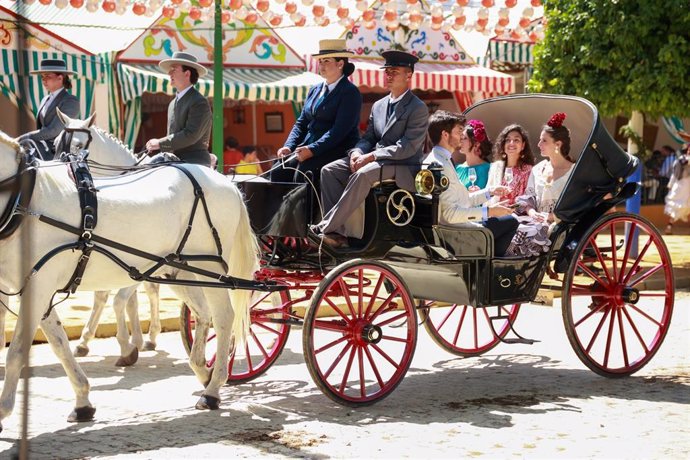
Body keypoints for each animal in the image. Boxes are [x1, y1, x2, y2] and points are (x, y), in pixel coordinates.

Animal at [0, 123, 260, 432]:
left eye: (77, 146)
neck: (23, 200)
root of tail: (227, 183)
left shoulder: (38, 287)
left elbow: (17, 352)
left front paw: (3, 411)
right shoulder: (36, 289)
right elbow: (59, 344)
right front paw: (83, 401)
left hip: (211, 270)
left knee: (223, 319)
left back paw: (212, 390)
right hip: (182, 271)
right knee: (203, 315)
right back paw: (202, 369)